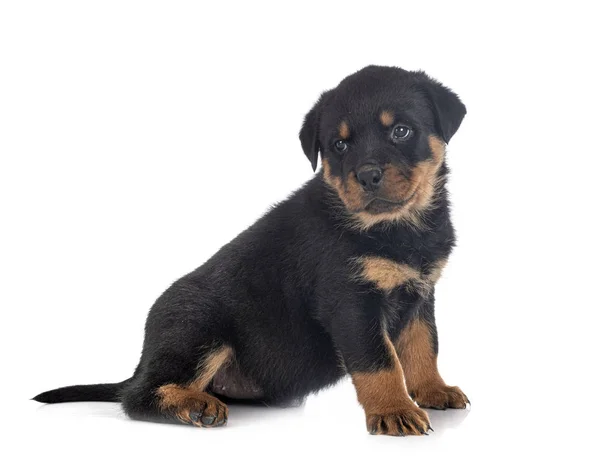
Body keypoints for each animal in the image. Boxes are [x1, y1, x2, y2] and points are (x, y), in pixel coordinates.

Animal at [35, 66, 472, 436]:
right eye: (339, 145)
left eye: (401, 131)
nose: (366, 174)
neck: (397, 228)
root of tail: (143, 360)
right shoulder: (351, 302)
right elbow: (380, 361)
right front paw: (394, 411)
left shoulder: (420, 294)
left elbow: (422, 347)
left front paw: (433, 390)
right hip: (199, 329)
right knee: (138, 397)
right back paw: (194, 405)